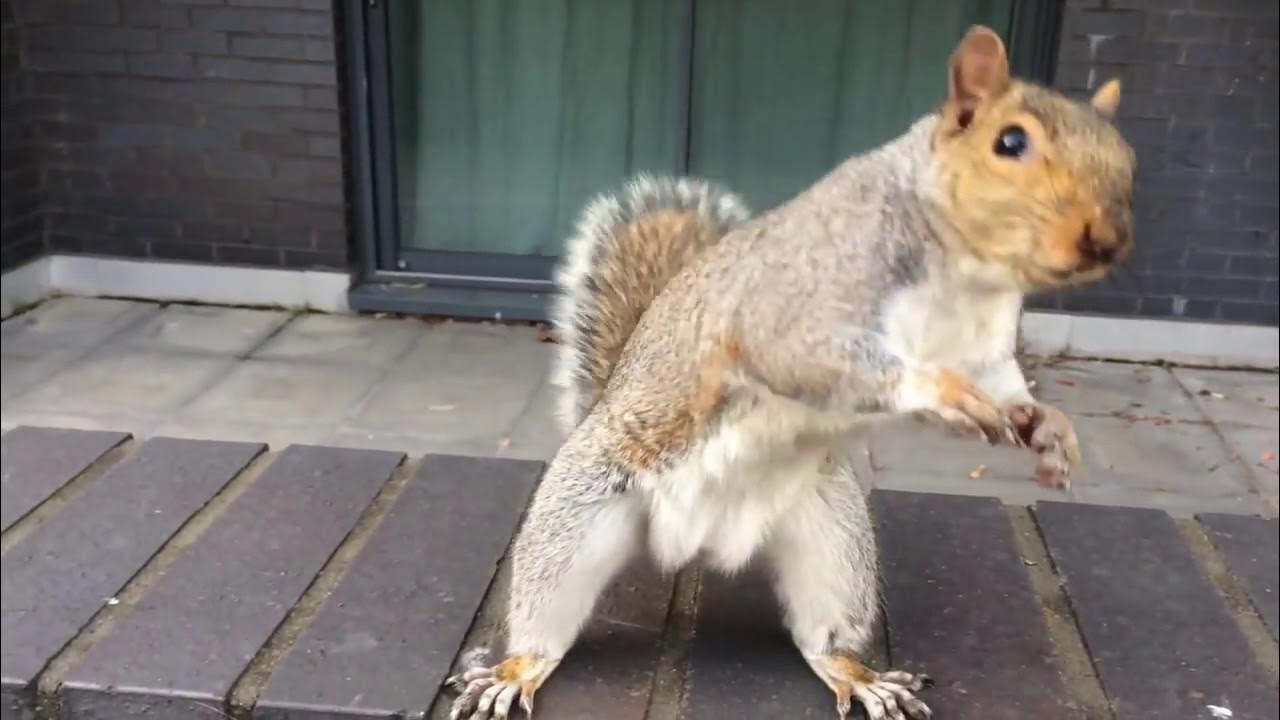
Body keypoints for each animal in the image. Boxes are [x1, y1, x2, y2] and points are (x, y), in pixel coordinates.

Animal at [446, 26, 1135, 720]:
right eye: (1010, 142)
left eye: (1127, 158)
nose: (1105, 241)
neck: (965, 271)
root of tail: (699, 543)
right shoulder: (794, 305)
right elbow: (813, 358)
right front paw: (939, 392)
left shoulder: (984, 345)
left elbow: (1005, 383)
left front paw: (1048, 428)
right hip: (578, 516)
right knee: (547, 616)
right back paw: (516, 668)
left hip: (832, 535)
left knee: (823, 631)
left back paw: (858, 675)